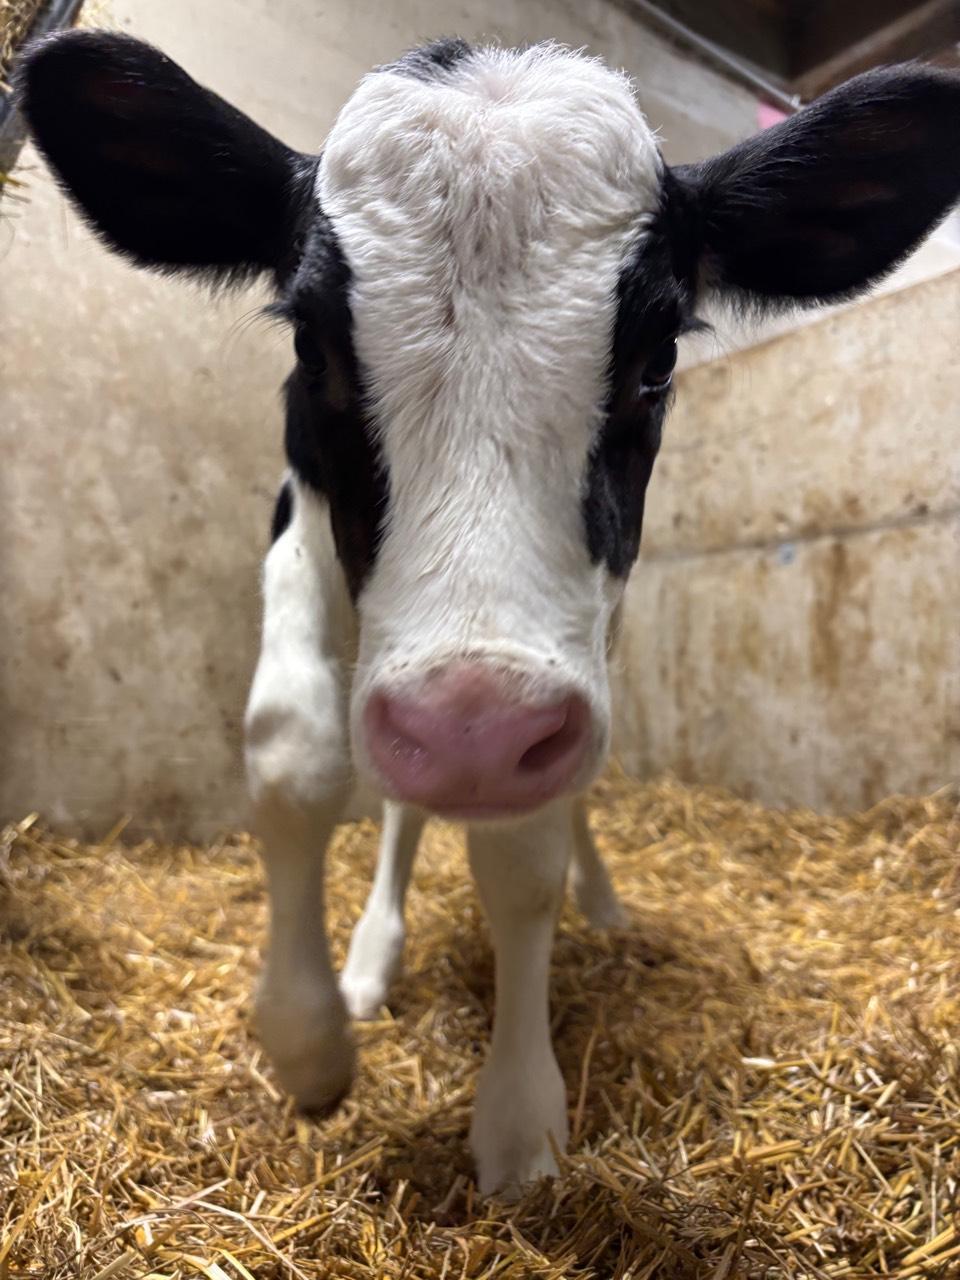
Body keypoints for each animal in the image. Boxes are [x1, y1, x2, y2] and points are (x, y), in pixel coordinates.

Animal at [19, 31, 960, 1196]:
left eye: (658, 357)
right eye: (312, 347)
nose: (465, 729)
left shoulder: (563, 664)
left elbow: (527, 852)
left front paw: (519, 1117)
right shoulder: (300, 529)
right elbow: (295, 750)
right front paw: (309, 1034)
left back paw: (600, 906)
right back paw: (374, 953)